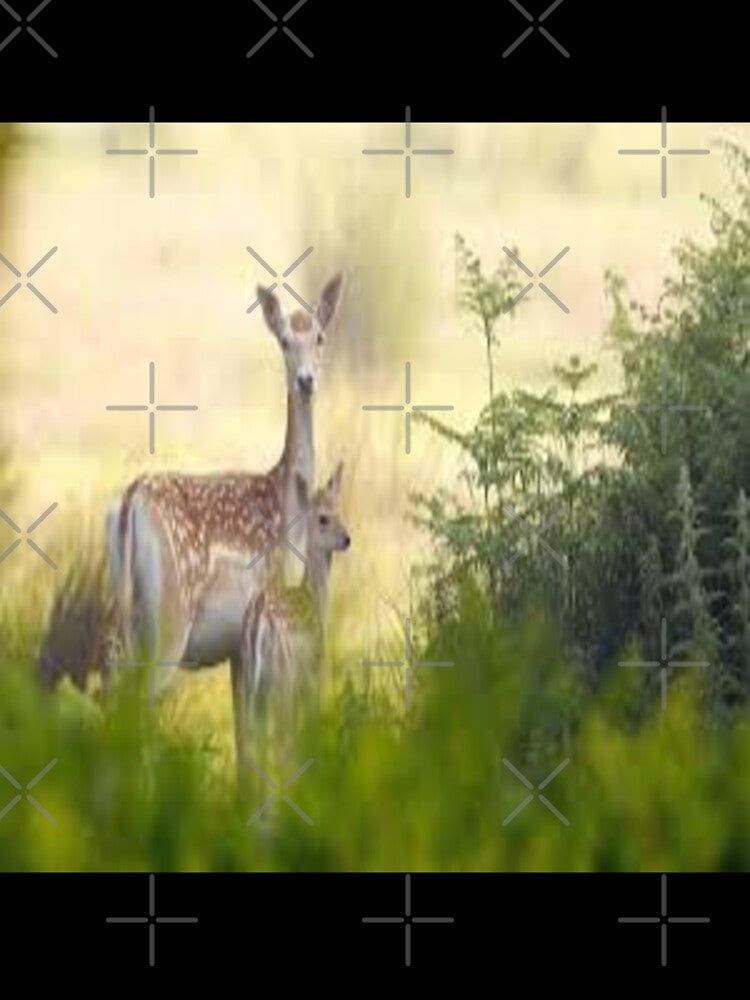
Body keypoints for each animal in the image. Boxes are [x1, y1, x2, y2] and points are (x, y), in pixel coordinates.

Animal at [103, 274, 344, 706]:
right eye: (284, 340)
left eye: (320, 336)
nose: (306, 380)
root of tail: (131, 503)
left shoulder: (238, 646)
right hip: (171, 616)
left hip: (123, 610)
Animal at [233, 462, 350, 775]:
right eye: (323, 518)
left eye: (341, 511)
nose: (347, 539)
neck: (313, 598)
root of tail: (258, 619)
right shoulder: (314, 672)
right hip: (282, 678)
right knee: (281, 743)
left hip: (250, 683)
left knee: (252, 744)